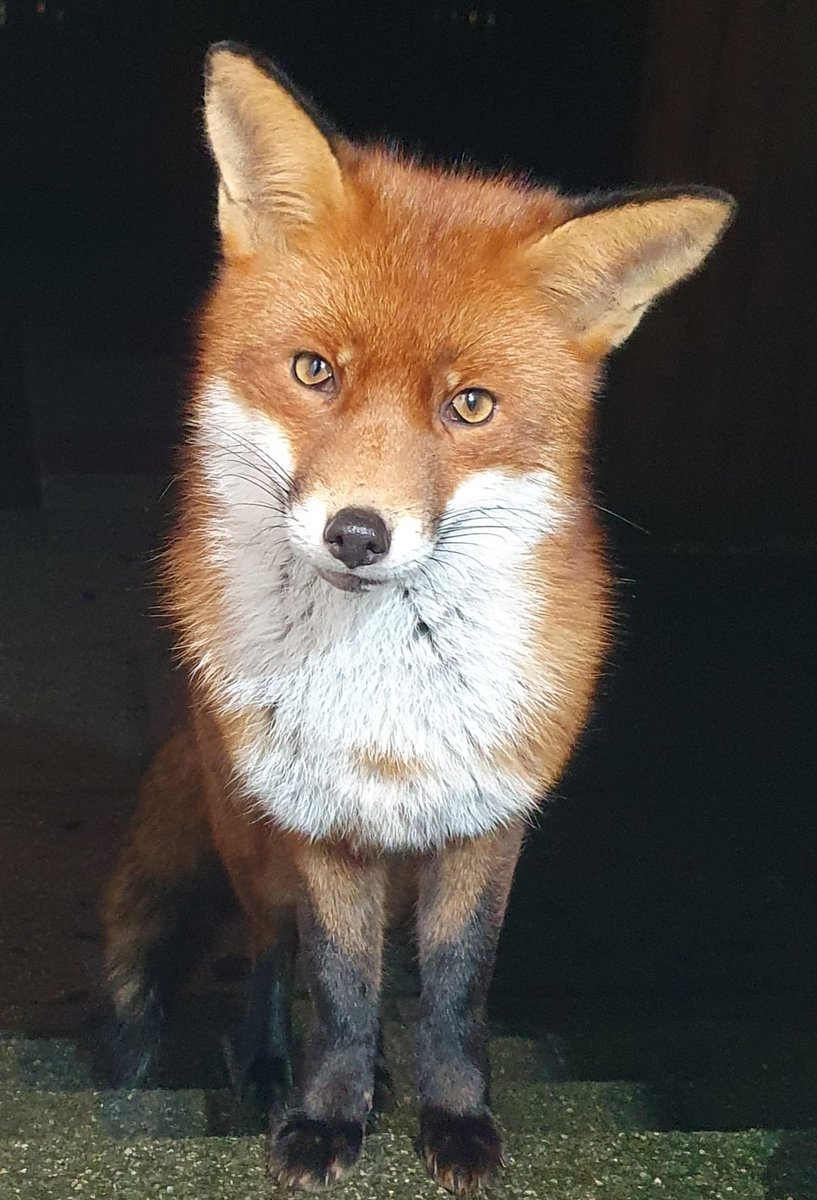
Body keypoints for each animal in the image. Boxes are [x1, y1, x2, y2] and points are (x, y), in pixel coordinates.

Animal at [100, 41, 734, 1195]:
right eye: (314, 370)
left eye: (469, 405)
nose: (357, 533)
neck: (387, 705)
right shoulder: (323, 827)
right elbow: (340, 988)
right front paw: (324, 1115)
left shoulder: (487, 819)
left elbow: (452, 990)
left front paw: (454, 1116)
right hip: (253, 842)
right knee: (269, 954)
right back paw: (270, 1066)